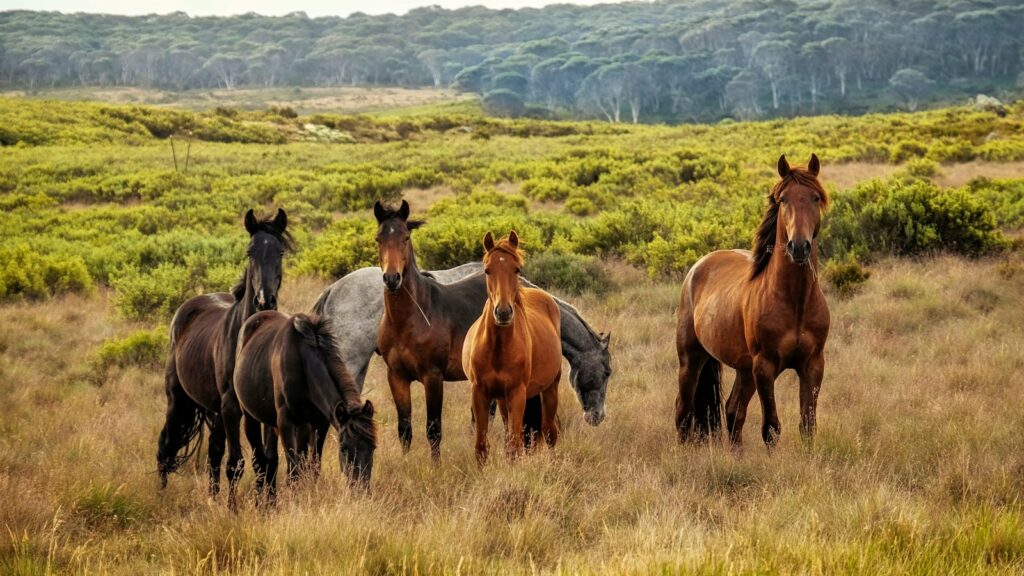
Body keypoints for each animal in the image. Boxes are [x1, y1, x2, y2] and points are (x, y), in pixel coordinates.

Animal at [157, 208, 289, 494]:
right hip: (178, 400)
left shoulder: (261, 410)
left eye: (281, 252)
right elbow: (236, 464)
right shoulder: (231, 407)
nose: (264, 300)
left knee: (213, 454)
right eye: (250, 252)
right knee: (165, 447)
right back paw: (160, 495)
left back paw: (213, 498)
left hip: (214, 411)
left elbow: (267, 462)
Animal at [230, 311, 376, 506]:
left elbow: (312, 465)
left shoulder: (319, 423)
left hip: (284, 423)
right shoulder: (286, 422)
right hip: (250, 417)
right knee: (259, 461)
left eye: (373, 447)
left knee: (272, 459)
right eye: (344, 449)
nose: (362, 491)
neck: (303, 363)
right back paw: (262, 503)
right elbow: (294, 468)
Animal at [463, 231, 562, 463]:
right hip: (502, 400)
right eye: (487, 270)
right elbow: (481, 447)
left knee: (549, 433)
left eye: (517, 269)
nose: (503, 312)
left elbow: (514, 446)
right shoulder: (480, 392)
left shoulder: (517, 394)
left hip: (550, 389)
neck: (498, 349)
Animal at [675, 154, 830, 448]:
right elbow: (771, 428)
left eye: (815, 197)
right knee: (683, 411)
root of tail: (698, 267)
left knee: (733, 410)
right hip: (691, 359)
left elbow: (808, 425)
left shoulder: (813, 365)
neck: (794, 301)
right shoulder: (765, 368)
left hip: (744, 369)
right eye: (783, 199)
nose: (799, 247)